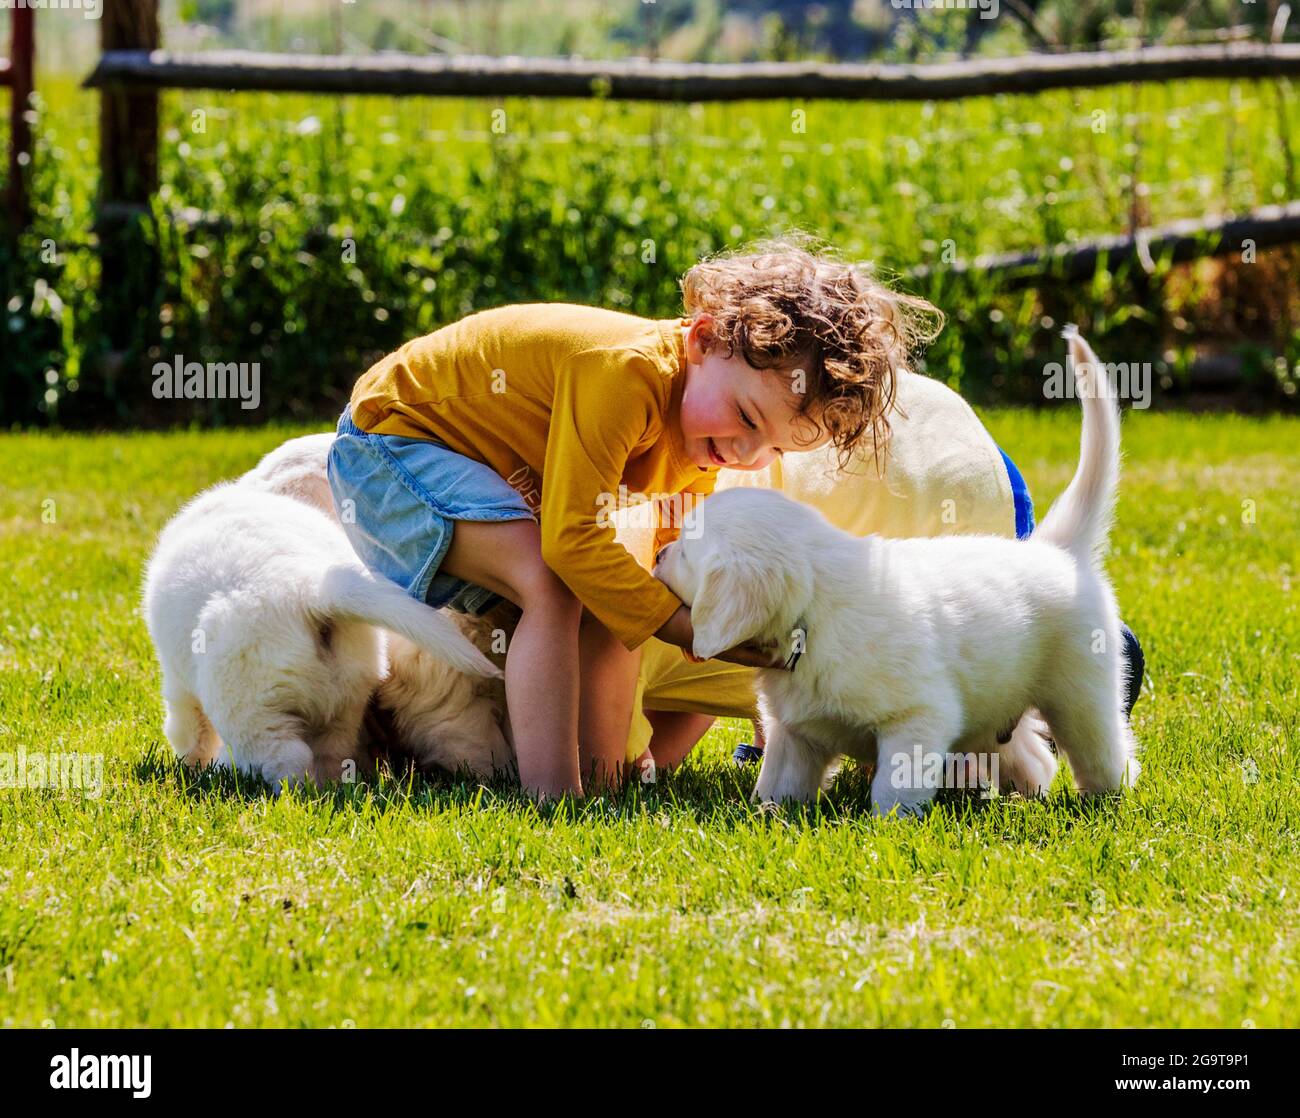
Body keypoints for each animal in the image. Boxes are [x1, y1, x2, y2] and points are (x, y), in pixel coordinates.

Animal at [655, 327, 1144, 816]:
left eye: (686, 553)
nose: (657, 557)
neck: (814, 613)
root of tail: (1058, 551)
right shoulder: (796, 733)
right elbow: (779, 781)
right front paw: (769, 816)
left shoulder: (918, 718)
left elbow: (892, 789)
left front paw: (886, 825)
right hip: (998, 708)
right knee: (1036, 758)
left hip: (1081, 693)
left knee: (1104, 753)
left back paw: (1106, 798)